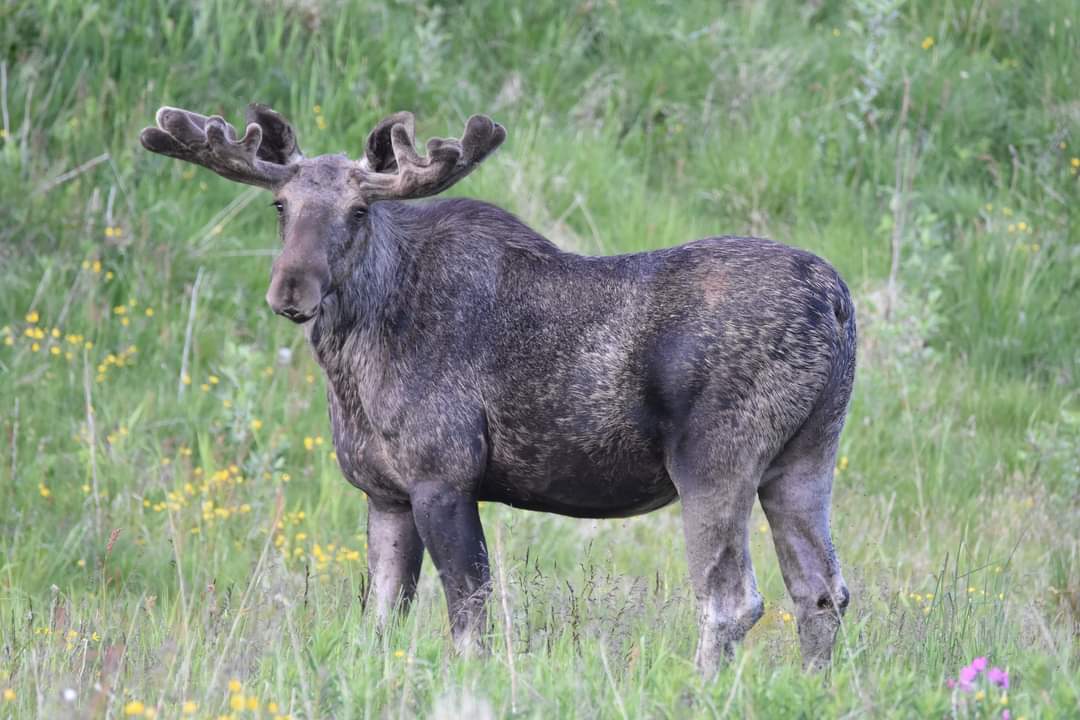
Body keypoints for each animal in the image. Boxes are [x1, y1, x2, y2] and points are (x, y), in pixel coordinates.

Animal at [140, 103, 856, 674]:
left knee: (732, 601)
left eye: (360, 209)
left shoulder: (444, 478)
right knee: (821, 591)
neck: (353, 367)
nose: (291, 291)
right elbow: (382, 622)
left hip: (715, 460)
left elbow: (469, 619)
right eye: (280, 206)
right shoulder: (385, 494)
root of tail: (836, 302)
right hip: (805, 457)